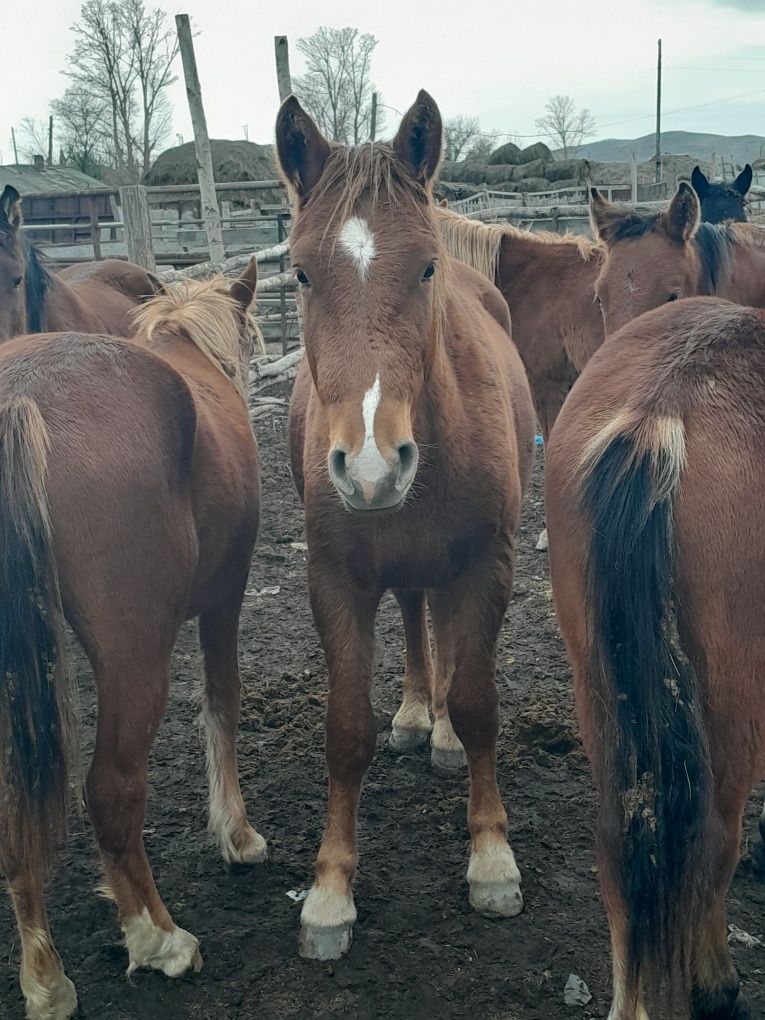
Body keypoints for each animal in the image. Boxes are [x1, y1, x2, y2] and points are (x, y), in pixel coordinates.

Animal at [0, 263, 263, 1020]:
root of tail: (20, 395)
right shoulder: (226, 598)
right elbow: (223, 701)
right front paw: (235, 835)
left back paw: (45, 979)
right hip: (133, 655)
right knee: (111, 789)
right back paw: (159, 939)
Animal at [279, 91, 534, 958]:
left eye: (425, 266)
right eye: (300, 272)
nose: (369, 466)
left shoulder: (487, 565)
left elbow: (481, 705)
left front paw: (491, 860)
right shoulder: (334, 581)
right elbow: (344, 730)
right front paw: (329, 892)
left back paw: (443, 732)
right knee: (418, 615)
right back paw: (419, 713)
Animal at [546, 291, 765, 1015]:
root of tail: (663, 406)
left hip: (600, 692)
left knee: (622, 852)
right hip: (730, 708)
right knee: (710, 844)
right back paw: (715, 984)